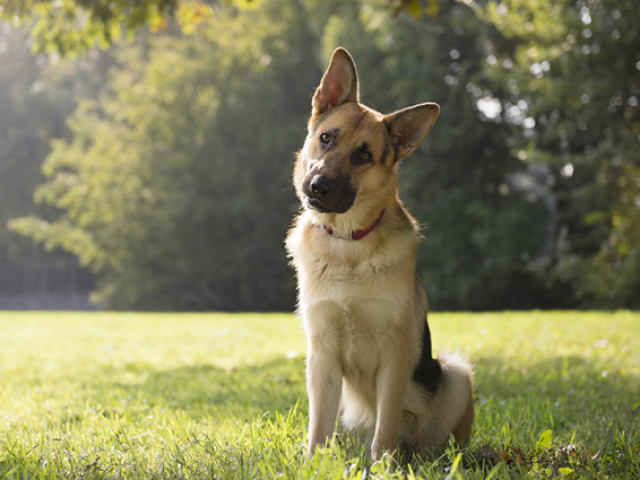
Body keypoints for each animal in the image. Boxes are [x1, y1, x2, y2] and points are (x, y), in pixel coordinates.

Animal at [286, 47, 476, 460]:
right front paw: (312, 463)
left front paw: (383, 464)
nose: (318, 186)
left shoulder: (395, 351)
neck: (348, 243)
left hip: (455, 374)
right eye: (326, 138)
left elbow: (386, 422)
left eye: (364, 155)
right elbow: (318, 426)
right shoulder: (322, 353)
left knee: (434, 439)